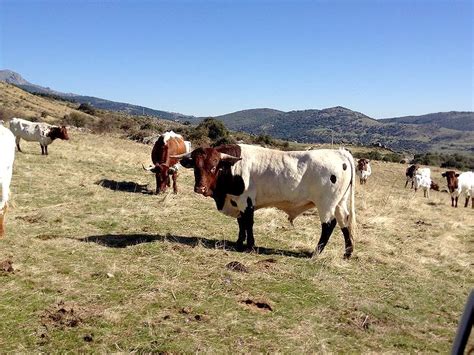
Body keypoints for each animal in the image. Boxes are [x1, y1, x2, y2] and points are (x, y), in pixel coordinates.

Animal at [174, 144, 356, 258]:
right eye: (196, 167)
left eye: (213, 166)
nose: (200, 188)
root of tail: (339, 152)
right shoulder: (237, 202)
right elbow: (241, 224)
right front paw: (239, 242)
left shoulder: (246, 202)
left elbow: (248, 223)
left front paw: (250, 246)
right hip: (340, 203)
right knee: (344, 222)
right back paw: (347, 252)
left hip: (326, 204)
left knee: (329, 225)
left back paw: (316, 252)